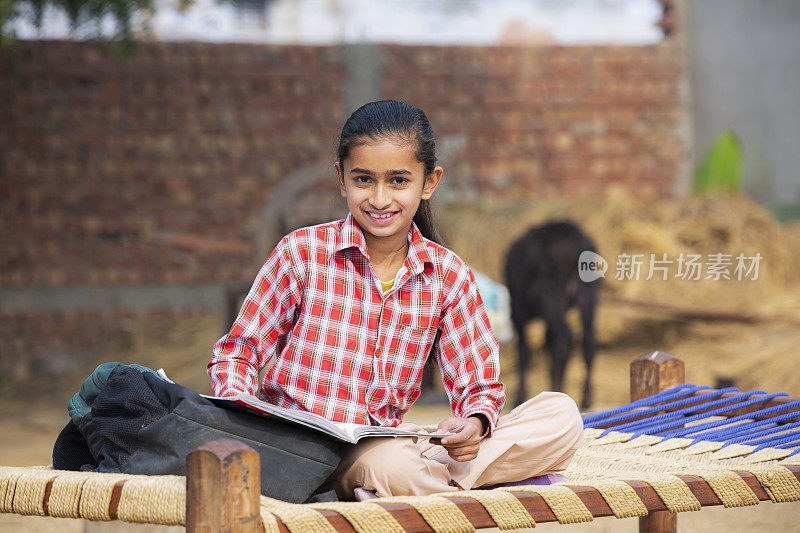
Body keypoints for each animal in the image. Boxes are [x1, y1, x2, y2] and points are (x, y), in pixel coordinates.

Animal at [506, 220, 600, 408]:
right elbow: (548, 343)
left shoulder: (517, 312)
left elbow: (523, 352)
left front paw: (520, 396)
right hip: (587, 292)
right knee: (587, 340)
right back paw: (584, 397)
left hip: (551, 295)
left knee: (566, 335)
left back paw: (558, 389)